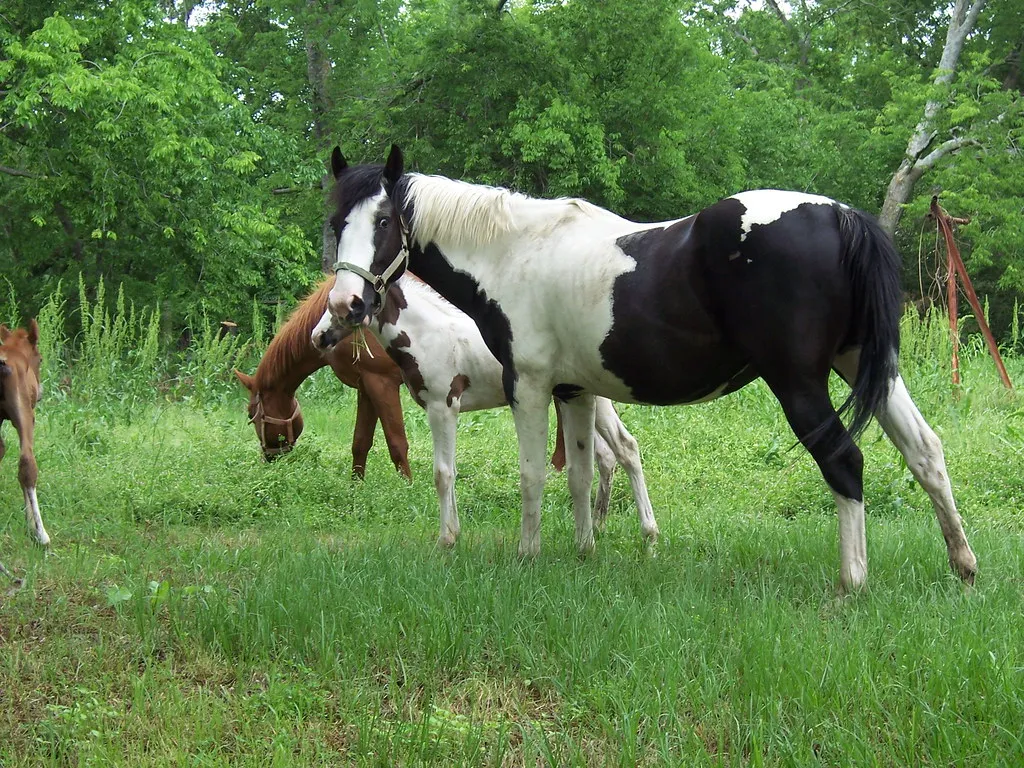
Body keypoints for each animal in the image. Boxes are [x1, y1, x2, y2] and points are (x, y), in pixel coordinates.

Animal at [234, 278, 412, 478]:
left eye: (251, 414)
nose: (268, 458)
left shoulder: (382, 382)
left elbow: (397, 445)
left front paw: (407, 486)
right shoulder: (366, 385)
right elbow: (360, 443)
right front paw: (356, 485)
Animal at [311, 272, 659, 549]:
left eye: (346, 306)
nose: (318, 337)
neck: (430, 335)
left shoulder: (442, 406)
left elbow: (443, 473)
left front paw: (446, 540)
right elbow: (451, 470)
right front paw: (455, 533)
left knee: (625, 448)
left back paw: (648, 534)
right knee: (612, 453)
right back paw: (601, 527)